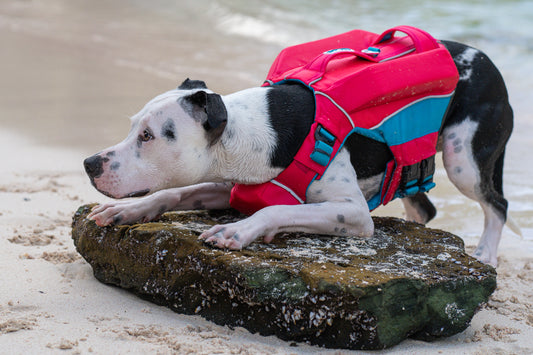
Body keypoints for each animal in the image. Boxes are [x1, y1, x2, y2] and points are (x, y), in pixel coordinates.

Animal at [82, 40, 512, 266]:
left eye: (149, 136)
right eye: (133, 126)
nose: (89, 163)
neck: (255, 132)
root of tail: (486, 58)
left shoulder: (353, 212)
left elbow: (276, 209)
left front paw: (237, 230)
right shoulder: (230, 184)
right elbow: (176, 192)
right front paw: (127, 211)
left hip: (463, 160)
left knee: (497, 203)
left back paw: (485, 254)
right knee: (424, 207)